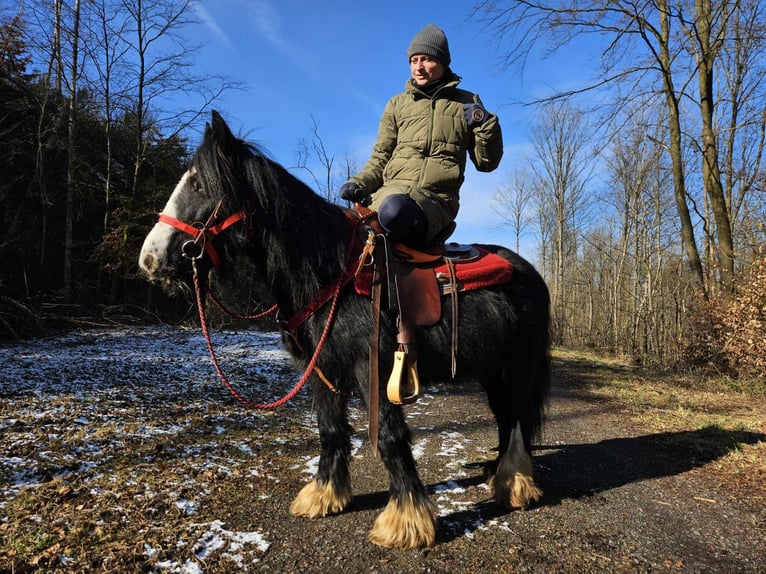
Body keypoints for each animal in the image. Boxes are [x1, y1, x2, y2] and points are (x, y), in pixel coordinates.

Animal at [140, 111, 552, 548]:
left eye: (199, 184)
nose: (149, 258)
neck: (331, 272)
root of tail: (531, 273)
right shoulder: (322, 369)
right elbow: (330, 429)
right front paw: (324, 495)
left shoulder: (374, 367)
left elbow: (389, 435)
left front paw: (406, 521)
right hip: (493, 372)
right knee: (505, 416)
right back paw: (499, 474)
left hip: (517, 368)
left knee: (516, 417)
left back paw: (515, 484)